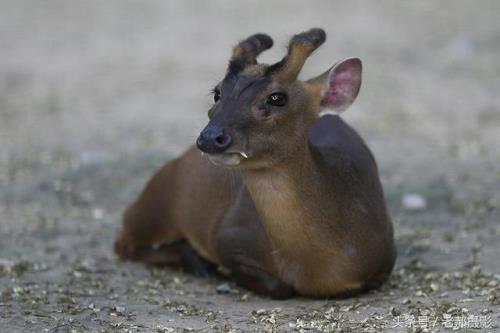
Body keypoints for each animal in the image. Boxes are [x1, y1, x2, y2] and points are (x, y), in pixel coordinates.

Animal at [115, 29, 396, 298]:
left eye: (277, 98)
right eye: (217, 92)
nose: (210, 137)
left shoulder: (386, 258)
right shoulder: (229, 236)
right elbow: (278, 287)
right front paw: (217, 268)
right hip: (159, 199)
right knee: (123, 241)